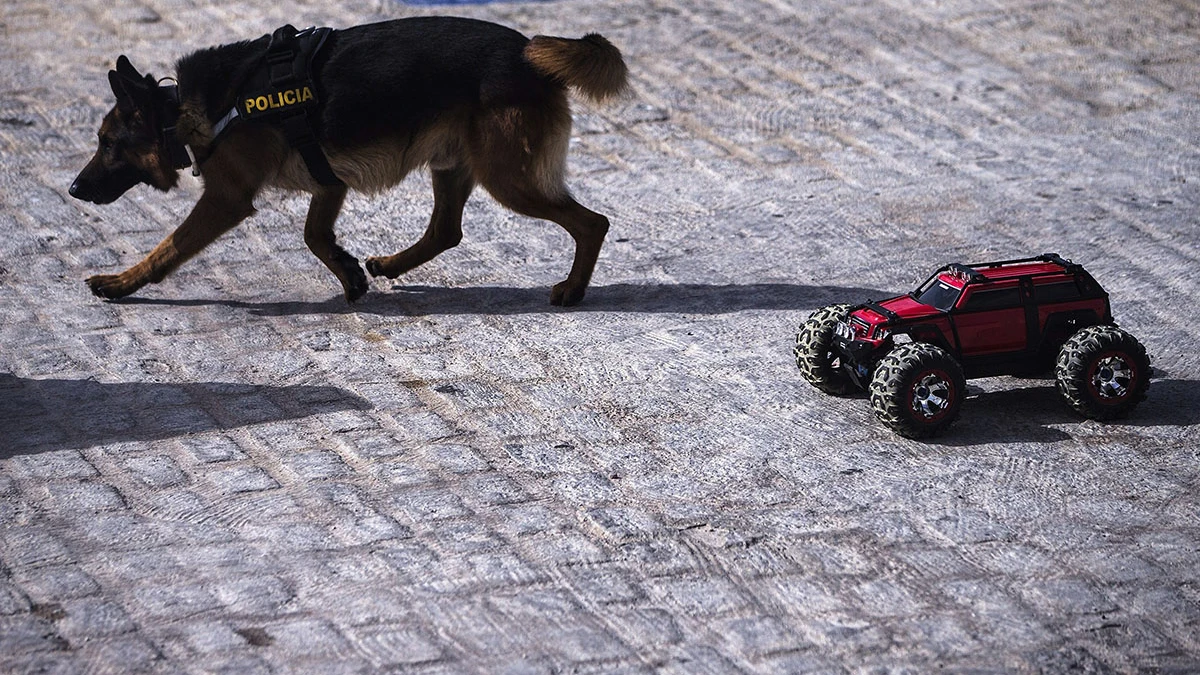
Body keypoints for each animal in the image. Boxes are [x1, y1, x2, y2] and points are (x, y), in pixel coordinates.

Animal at [68, 16, 628, 305]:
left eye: (107, 144)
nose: (73, 189)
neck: (182, 110)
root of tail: (529, 52)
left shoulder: (227, 199)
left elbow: (169, 247)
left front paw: (121, 283)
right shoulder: (328, 181)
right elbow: (315, 236)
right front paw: (348, 273)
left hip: (507, 178)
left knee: (592, 222)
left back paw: (574, 289)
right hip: (453, 165)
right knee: (446, 231)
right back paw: (390, 265)